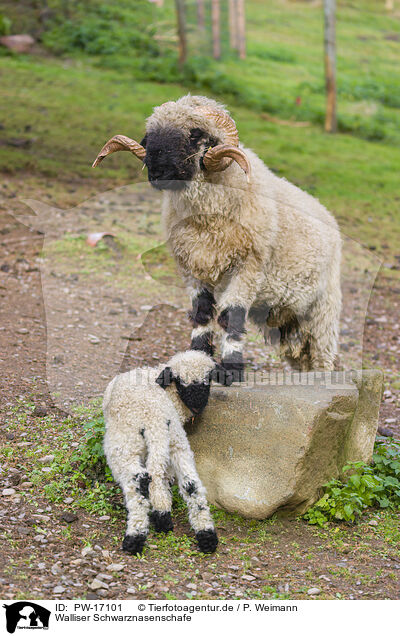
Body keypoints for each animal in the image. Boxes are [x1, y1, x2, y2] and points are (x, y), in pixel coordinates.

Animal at [93, 94, 340, 378]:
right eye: (149, 135)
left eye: (194, 134)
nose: (156, 171)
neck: (207, 222)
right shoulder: (192, 267)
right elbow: (201, 314)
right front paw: (197, 357)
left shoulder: (247, 269)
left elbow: (231, 316)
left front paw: (231, 369)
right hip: (286, 317)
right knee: (300, 352)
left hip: (324, 308)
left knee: (322, 353)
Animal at [103, 350, 228, 556]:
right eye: (181, 383)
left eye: (207, 381)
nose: (198, 405)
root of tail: (155, 420)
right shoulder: (169, 450)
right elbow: (168, 481)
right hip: (176, 442)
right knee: (190, 484)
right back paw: (206, 535)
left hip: (124, 446)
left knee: (139, 480)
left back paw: (135, 537)